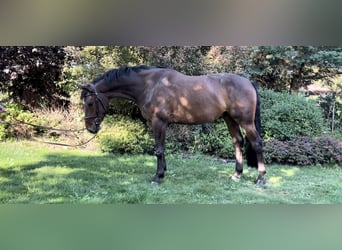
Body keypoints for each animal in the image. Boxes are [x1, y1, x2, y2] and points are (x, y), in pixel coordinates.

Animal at [81, 65, 268, 185]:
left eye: (89, 103)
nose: (90, 128)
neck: (150, 85)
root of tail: (248, 82)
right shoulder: (160, 124)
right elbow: (162, 148)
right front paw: (163, 172)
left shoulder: (158, 122)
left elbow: (158, 149)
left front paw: (157, 177)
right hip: (230, 119)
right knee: (238, 142)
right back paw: (236, 174)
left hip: (245, 121)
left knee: (257, 143)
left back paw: (260, 178)